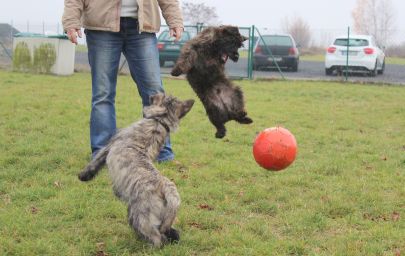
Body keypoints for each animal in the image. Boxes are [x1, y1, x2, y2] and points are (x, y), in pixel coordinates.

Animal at [78, 93, 194, 247]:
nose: (152, 95)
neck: (158, 121)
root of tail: (169, 192)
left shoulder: (108, 147)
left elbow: (95, 162)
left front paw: (83, 176)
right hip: (164, 218)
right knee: (170, 232)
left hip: (140, 216)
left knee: (157, 238)